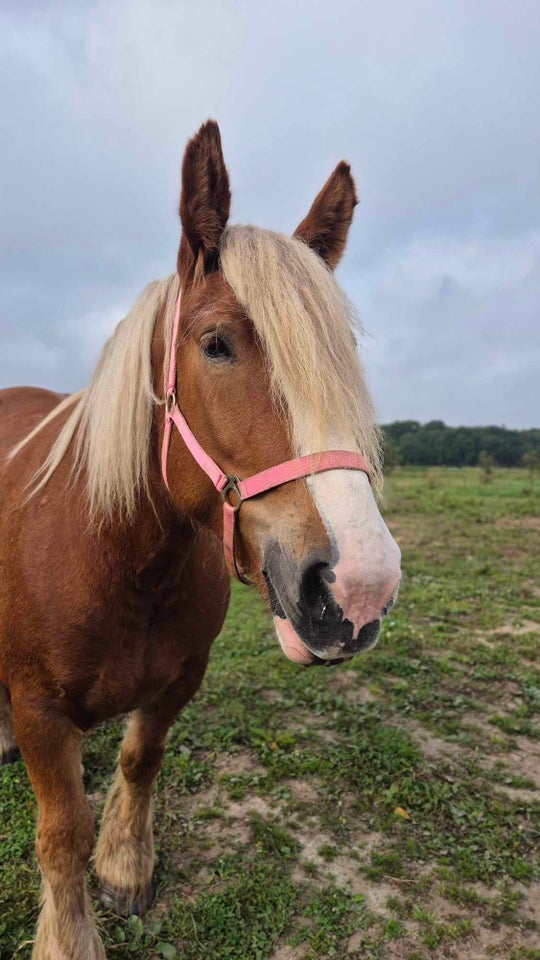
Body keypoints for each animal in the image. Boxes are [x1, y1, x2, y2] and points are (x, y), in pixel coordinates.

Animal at [0, 122, 400, 960]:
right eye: (215, 344)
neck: (122, 562)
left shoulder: (180, 679)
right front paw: (71, 935)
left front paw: (125, 866)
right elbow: (61, 833)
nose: (359, 586)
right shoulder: (41, 711)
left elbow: (138, 761)